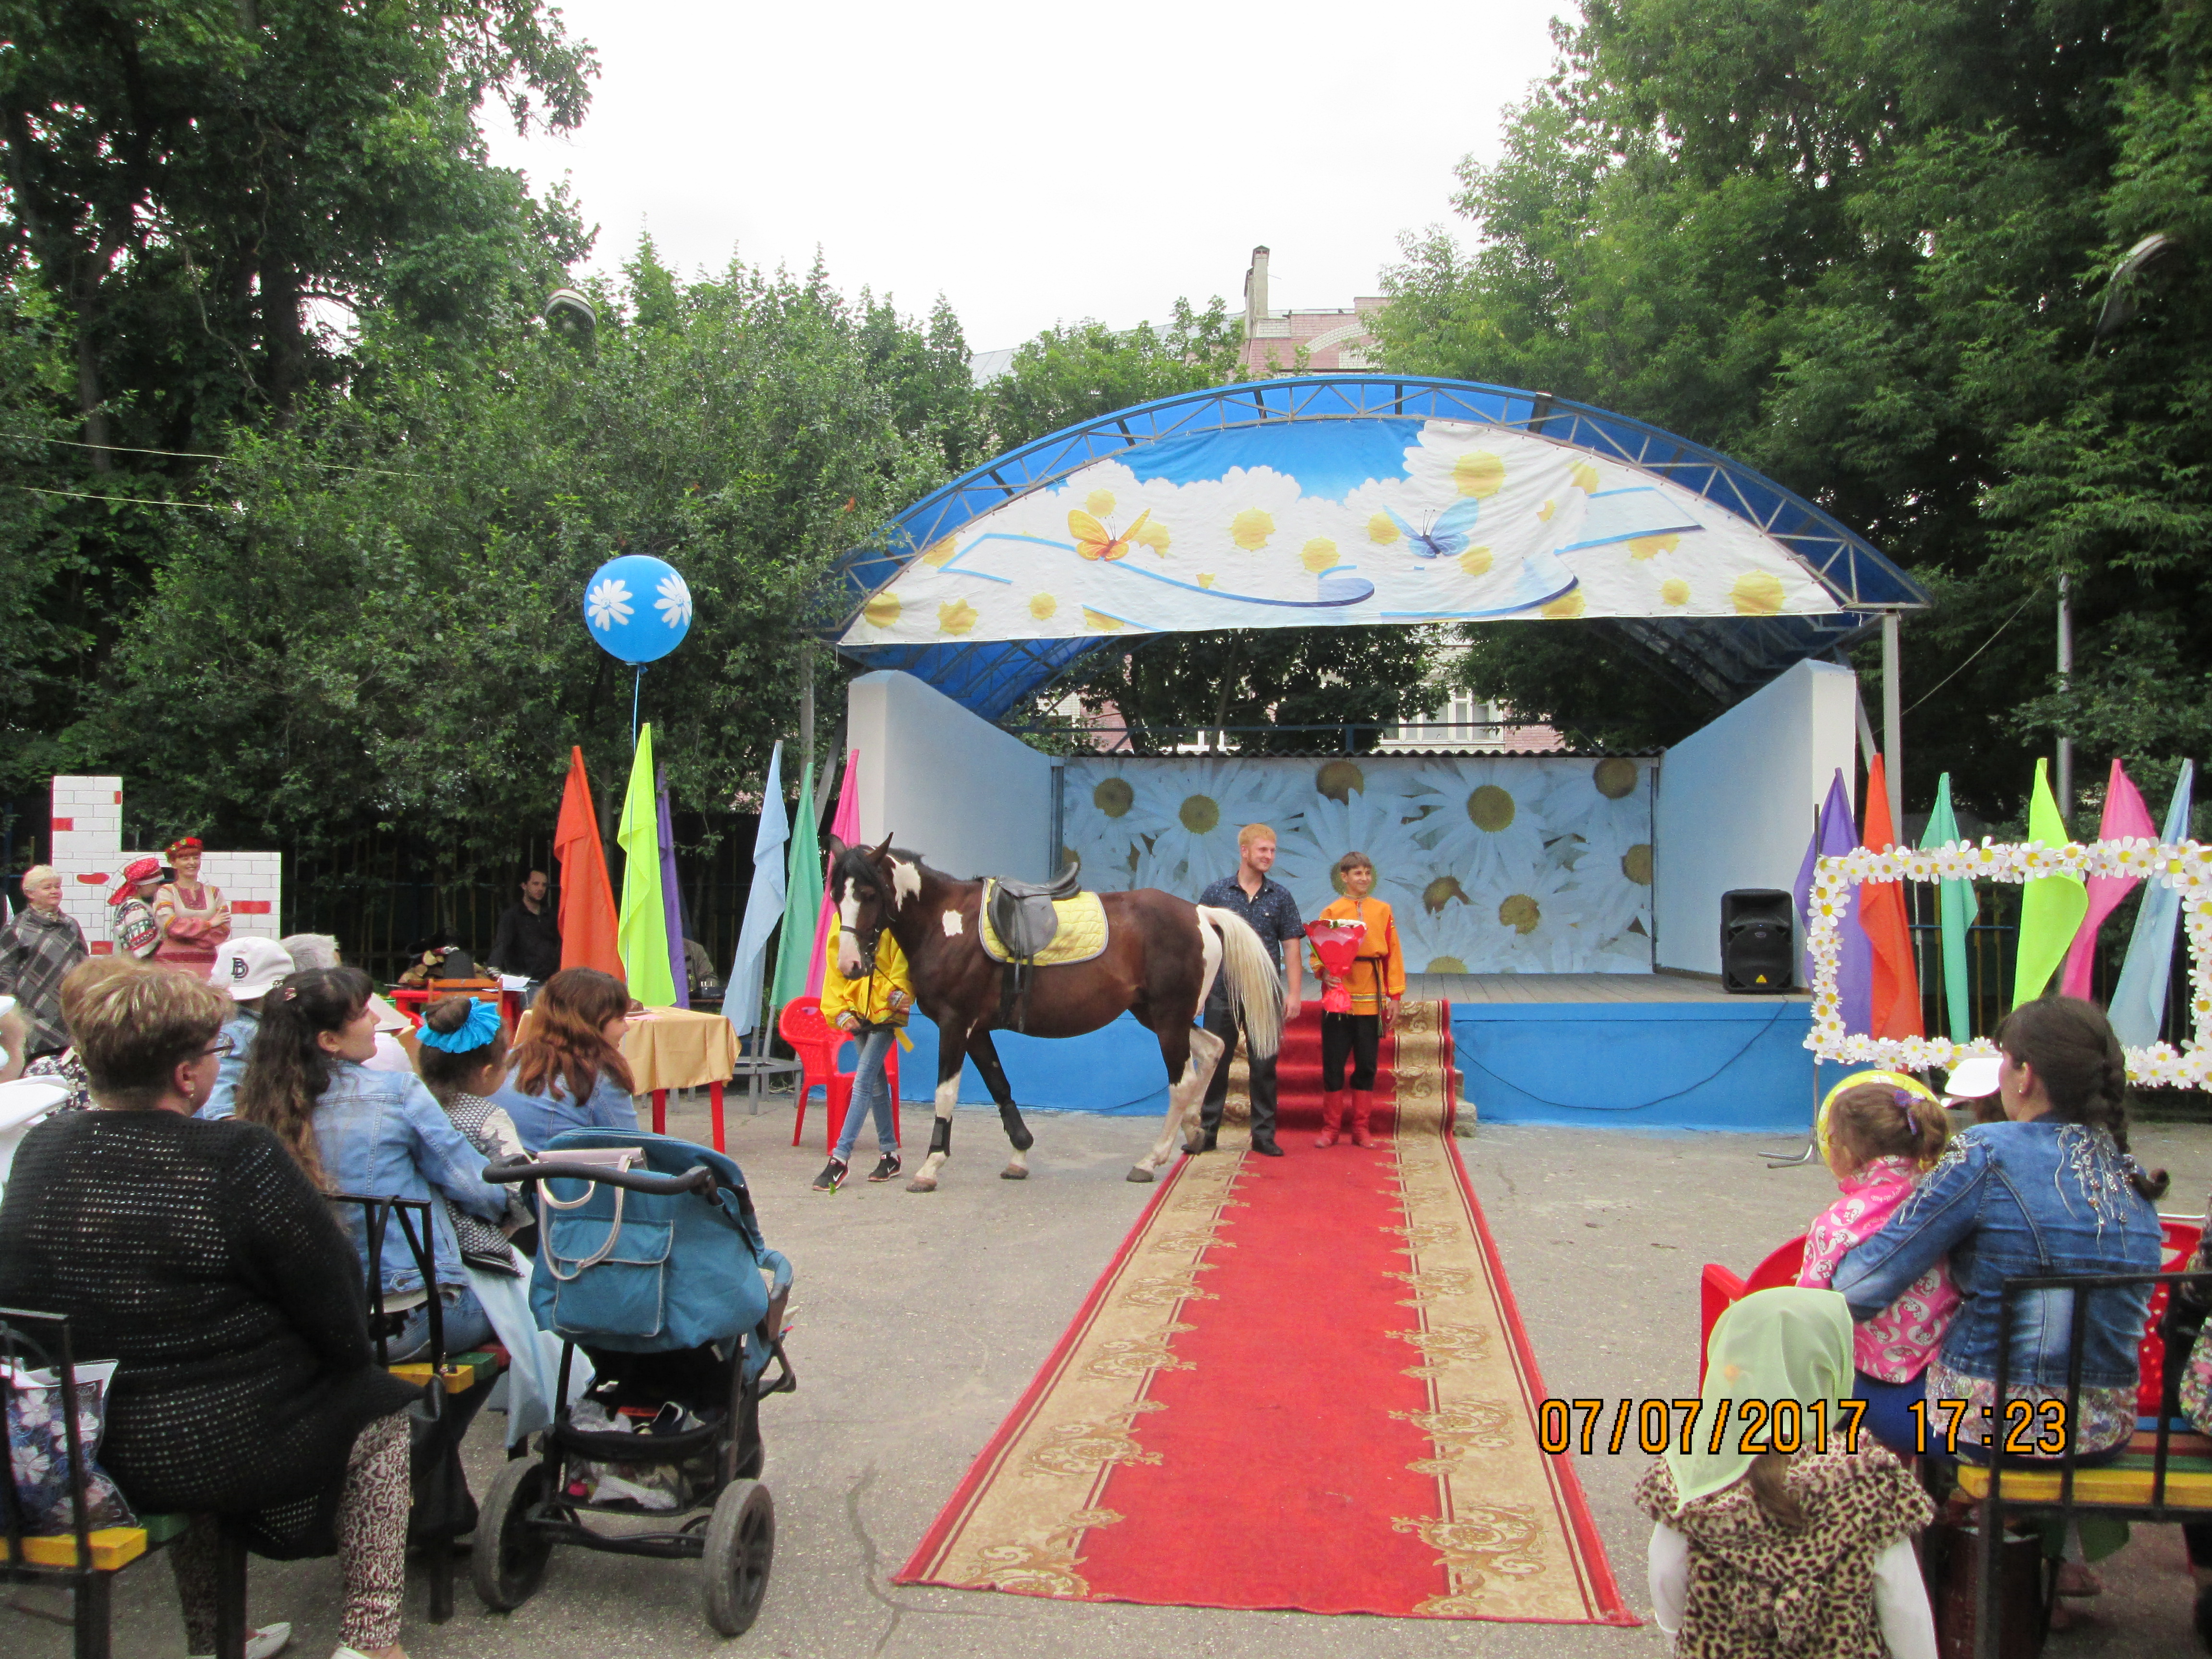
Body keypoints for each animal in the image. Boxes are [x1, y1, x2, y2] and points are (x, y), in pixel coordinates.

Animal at [824, 836, 1285, 1190]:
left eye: (869, 895)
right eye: (836, 895)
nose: (849, 965)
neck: (947, 923)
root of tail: (1201, 913)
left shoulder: (955, 1024)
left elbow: (946, 1094)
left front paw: (931, 1165)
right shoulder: (977, 1029)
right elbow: (999, 1086)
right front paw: (1019, 1154)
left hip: (1169, 1020)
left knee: (1182, 1081)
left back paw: (1150, 1159)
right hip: (1159, 1016)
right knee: (1213, 1049)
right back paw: (1192, 1132)